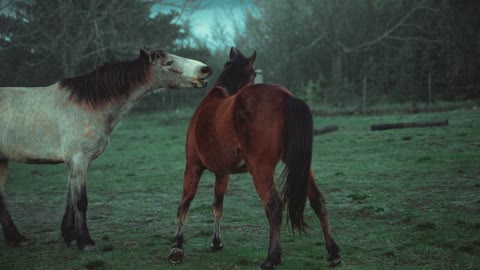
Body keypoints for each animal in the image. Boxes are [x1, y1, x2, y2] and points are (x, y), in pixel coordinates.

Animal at [169, 47, 342, 268]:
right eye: (252, 75)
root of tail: (285, 96)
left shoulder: (193, 166)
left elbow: (185, 204)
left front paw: (177, 247)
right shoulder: (223, 173)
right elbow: (217, 206)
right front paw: (215, 242)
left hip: (261, 170)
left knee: (274, 205)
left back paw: (272, 257)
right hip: (300, 166)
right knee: (317, 200)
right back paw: (333, 252)